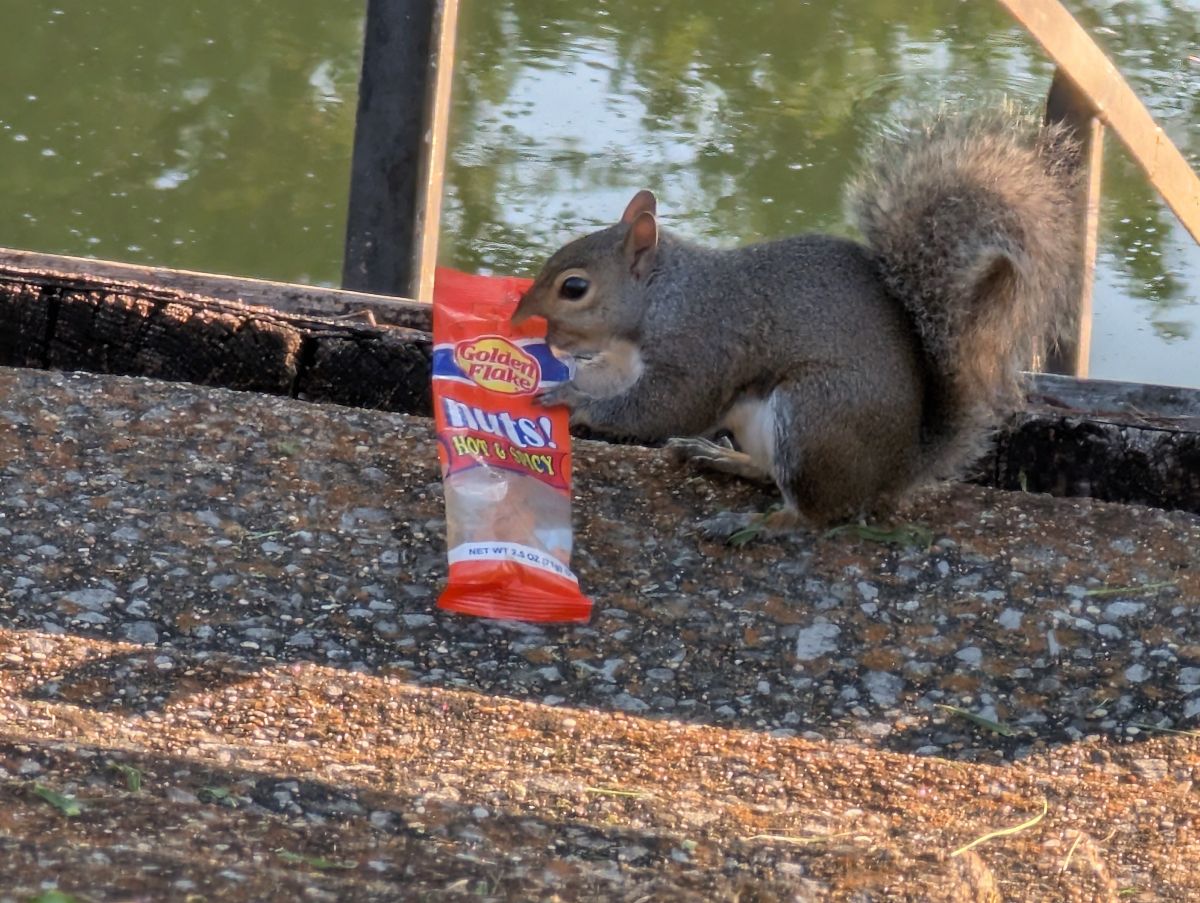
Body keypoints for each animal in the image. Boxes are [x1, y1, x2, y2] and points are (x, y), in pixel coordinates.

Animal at [511, 108, 1083, 531]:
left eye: (574, 288)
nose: (519, 317)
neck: (661, 297)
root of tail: (896, 470)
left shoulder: (700, 346)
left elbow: (664, 408)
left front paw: (575, 404)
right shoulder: (624, 359)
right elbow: (607, 380)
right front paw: (559, 386)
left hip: (812, 419)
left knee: (818, 513)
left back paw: (759, 525)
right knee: (769, 473)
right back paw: (721, 457)